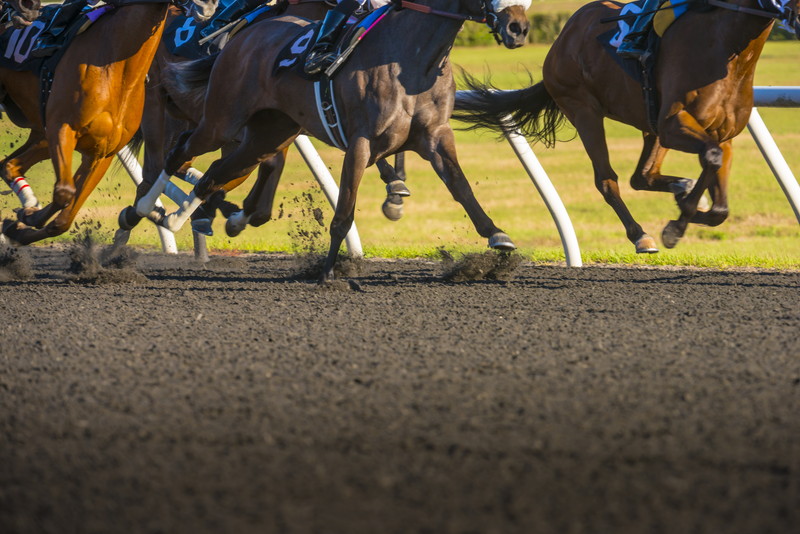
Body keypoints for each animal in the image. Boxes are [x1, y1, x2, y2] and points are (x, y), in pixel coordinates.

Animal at [0, 0, 219, 246]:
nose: (209, 6)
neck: (117, 70)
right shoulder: (62, 129)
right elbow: (64, 192)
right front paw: (26, 217)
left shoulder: (102, 153)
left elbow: (63, 219)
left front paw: (21, 223)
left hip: (41, 136)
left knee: (9, 165)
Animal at [138, 0, 532, 280]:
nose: (518, 27)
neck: (411, 58)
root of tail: (242, 38)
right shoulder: (361, 141)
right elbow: (344, 210)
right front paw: (329, 272)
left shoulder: (435, 136)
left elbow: (461, 188)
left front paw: (498, 238)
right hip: (221, 119)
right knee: (177, 154)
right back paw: (146, 208)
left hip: (269, 133)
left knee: (216, 171)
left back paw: (186, 217)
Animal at [456, 0, 800, 253]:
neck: (728, 50)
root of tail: (562, 38)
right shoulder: (673, 123)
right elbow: (712, 159)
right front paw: (676, 226)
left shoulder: (721, 134)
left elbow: (719, 201)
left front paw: (688, 205)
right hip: (584, 110)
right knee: (608, 180)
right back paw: (640, 234)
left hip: (650, 126)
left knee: (642, 176)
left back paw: (680, 187)